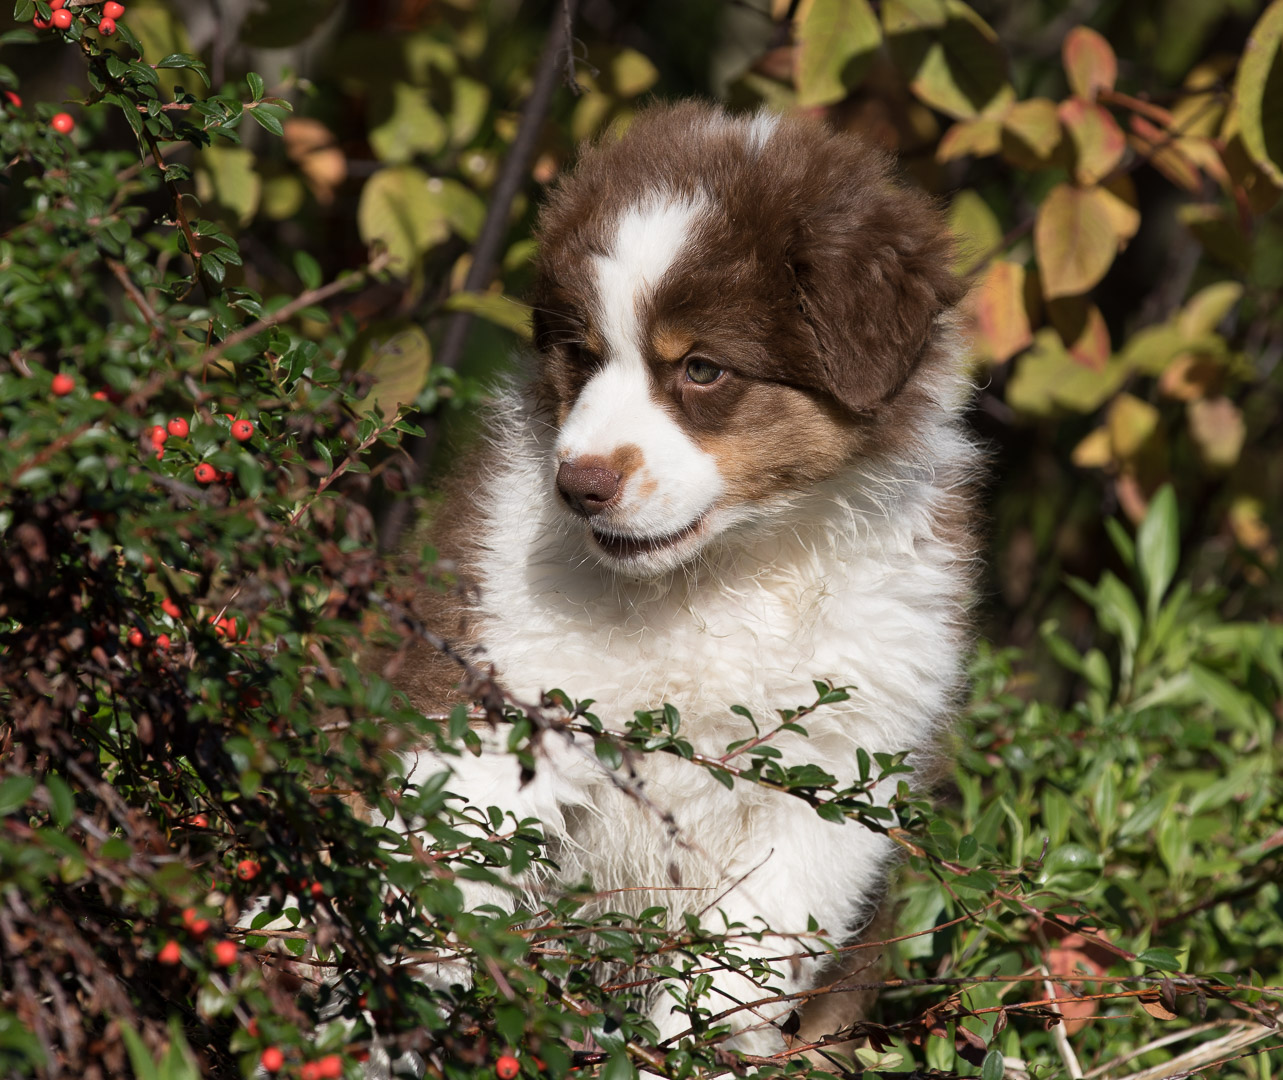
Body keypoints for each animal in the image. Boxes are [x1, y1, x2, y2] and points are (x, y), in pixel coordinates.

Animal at [395, 98, 975, 1051]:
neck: (714, 576)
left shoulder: (832, 779)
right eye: (581, 355)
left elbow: (736, 963)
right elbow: (444, 855)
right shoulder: (508, 693)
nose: (578, 486)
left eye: (702, 368)